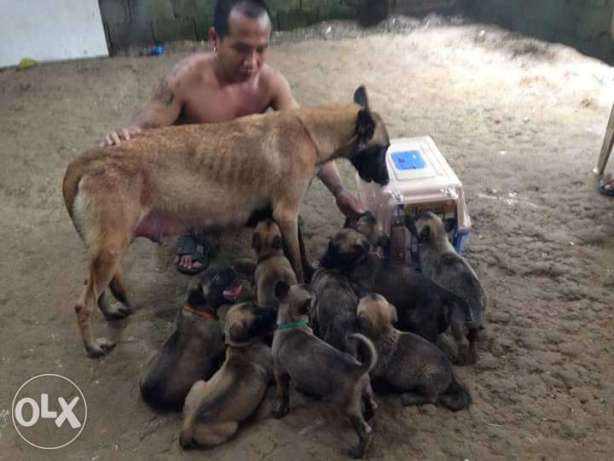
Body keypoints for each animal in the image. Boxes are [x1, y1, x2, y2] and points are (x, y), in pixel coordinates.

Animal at [61, 87, 390, 360]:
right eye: (381, 149)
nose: (386, 181)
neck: (307, 131)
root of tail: (89, 158)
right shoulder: (286, 213)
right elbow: (296, 260)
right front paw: (305, 283)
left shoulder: (287, 216)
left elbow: (301, 251)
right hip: (111, 250)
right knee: (82, 303)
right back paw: (93, 346)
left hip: (105, 251)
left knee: (94, 290)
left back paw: (111, 311)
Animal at [177, 302, 276, 450]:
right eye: (257, 320)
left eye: (256, 305)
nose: (274, 309)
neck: (240, 347)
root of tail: (188, 429)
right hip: (231, 427)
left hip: (198, 384)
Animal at [276, 282, 380, 458]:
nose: (310, 283)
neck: (294, 323)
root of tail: (358, 367)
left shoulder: (280, 374)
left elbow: (283, 395)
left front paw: (280, 411)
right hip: (366, 391)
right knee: (372, 405)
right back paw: (368, 415)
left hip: (348, 407)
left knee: (365, 432)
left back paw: (357, 452)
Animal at [322, 228, 476, 364]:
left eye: (335, 250)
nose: (321, 261)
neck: (360, 261)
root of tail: (440, 291)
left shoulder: (362, 290)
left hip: (423, 324)